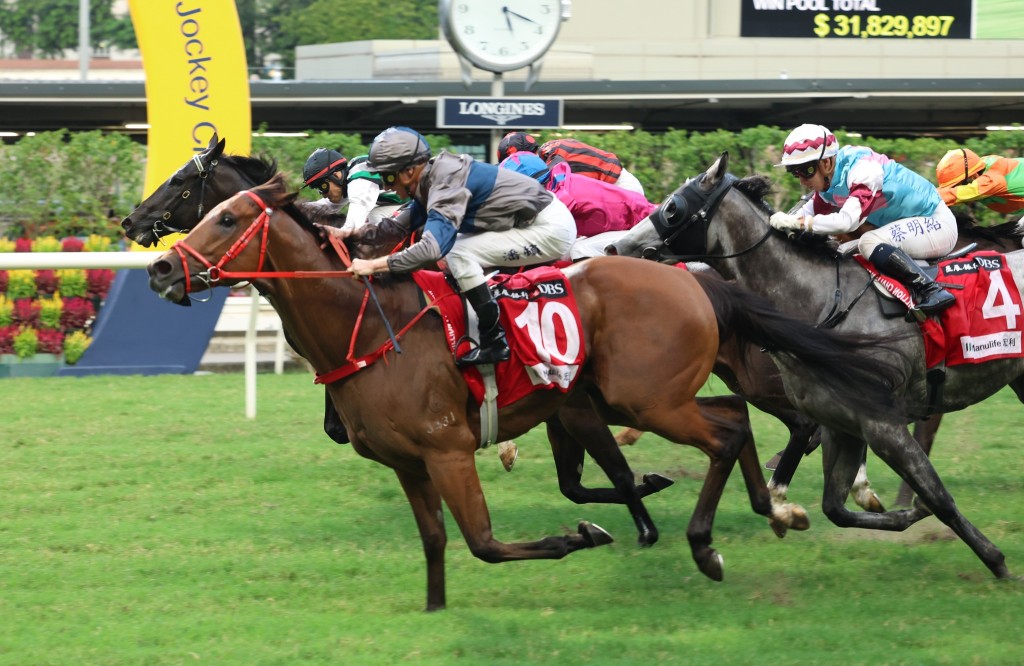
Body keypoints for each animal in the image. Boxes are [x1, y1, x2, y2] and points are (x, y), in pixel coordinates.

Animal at [146, 175, 905, 606]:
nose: (159, 267)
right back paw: (771, 509)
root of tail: (694, 278)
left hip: (649, 397)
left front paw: (584, 535)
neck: (368, 325)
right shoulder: (408, 461)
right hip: (649, 395)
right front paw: (435, 610)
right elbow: (436, 543)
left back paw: (712, 541)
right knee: (733, 418)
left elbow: (484, 541)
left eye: (223, 217)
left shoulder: (450, 448)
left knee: (739, 429)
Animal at [610, 152, 1019, 577]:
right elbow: (835, 506)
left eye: (672, 208)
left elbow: (939, 498)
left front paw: (996, 562)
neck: (823, 302)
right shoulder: (844, 422)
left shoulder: (883, 422)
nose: (615, 246)